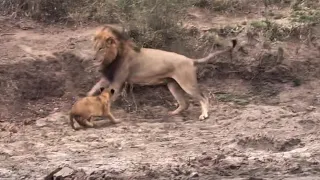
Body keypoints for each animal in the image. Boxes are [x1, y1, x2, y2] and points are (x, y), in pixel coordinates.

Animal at [86, 24, 236, 120]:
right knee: (185, 103)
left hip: (187, 84)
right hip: (173, 85)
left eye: (101, 48)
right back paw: (173, 113)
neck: (113, 57)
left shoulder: (118, 82)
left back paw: (204, 115)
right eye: (94, 47)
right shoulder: (107, 78)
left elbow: (108, 97)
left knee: (203, 97)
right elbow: (92, 89)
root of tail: (190, 60)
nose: (93, 58)